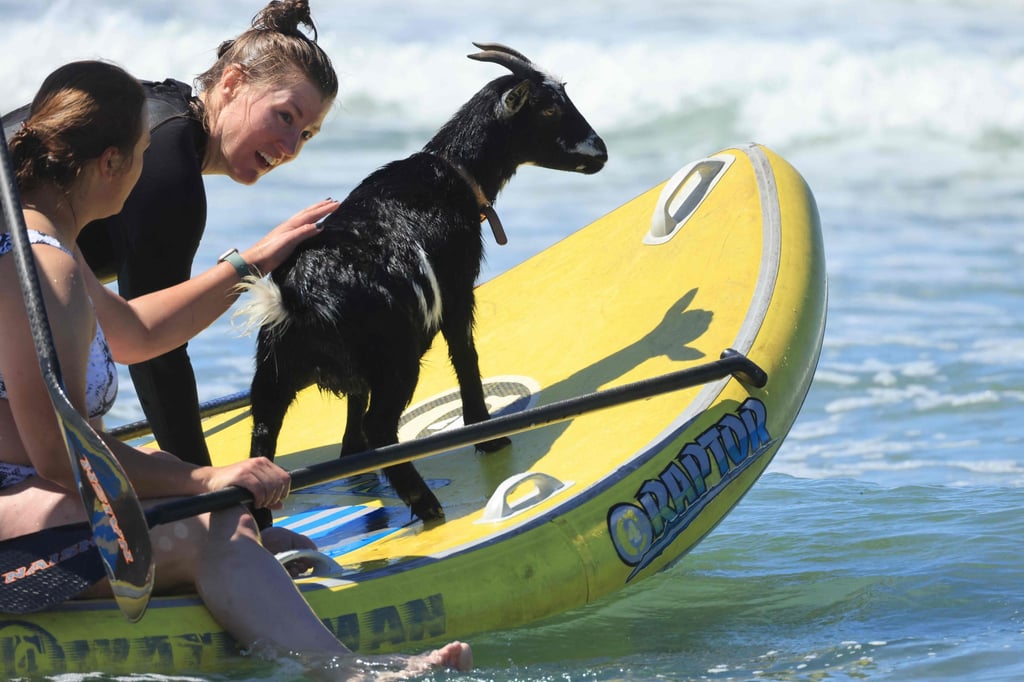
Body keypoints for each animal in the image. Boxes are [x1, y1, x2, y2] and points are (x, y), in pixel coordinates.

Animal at [240, 42, 608, 523]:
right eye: (547, 109)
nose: (600, 152)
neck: (451, 176)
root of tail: (301, 298)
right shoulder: (456, 291)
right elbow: (465, 354)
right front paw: (488, 435)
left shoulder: (361, 372)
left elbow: (354, 407)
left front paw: (351, 458)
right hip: (396, 358)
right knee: (381, 426)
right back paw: (426, 504)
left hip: (274, 371)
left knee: (262, 437)